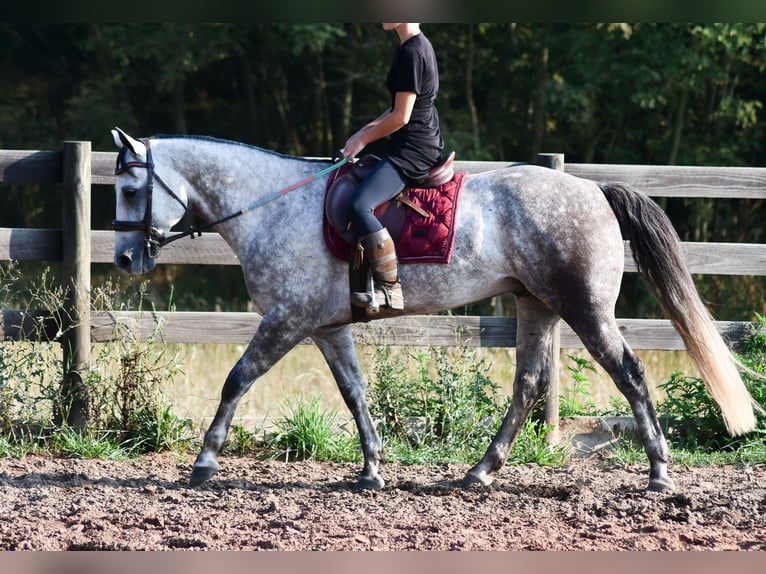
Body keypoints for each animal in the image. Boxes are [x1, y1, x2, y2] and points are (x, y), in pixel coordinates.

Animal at [110, 127, 758, 493]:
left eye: (129, 189)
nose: (123, 259)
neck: (270, 205)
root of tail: (593, 189)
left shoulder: (287, 321)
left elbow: (236, 379)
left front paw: (203, 464)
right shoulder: (325, 328)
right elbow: (354, 393)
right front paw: (371, 471)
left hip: (584, 309)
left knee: (630, 374)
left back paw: (658, 474)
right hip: (537, 307)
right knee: (527, 386)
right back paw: (479, 473)